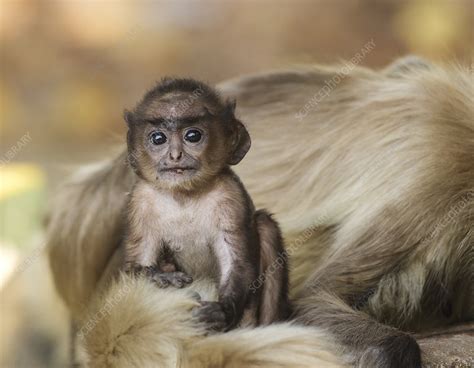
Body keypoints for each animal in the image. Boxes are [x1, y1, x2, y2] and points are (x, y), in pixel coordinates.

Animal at [122, 77, 290, 330]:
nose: (175, 156)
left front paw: (222, 312)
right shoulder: (140, 200)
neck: (184, 196)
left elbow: (236, 261)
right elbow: (134, 267)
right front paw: (160, 275)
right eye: (158, 138)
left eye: (193, 136)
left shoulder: (230, 196)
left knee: (265, 224)